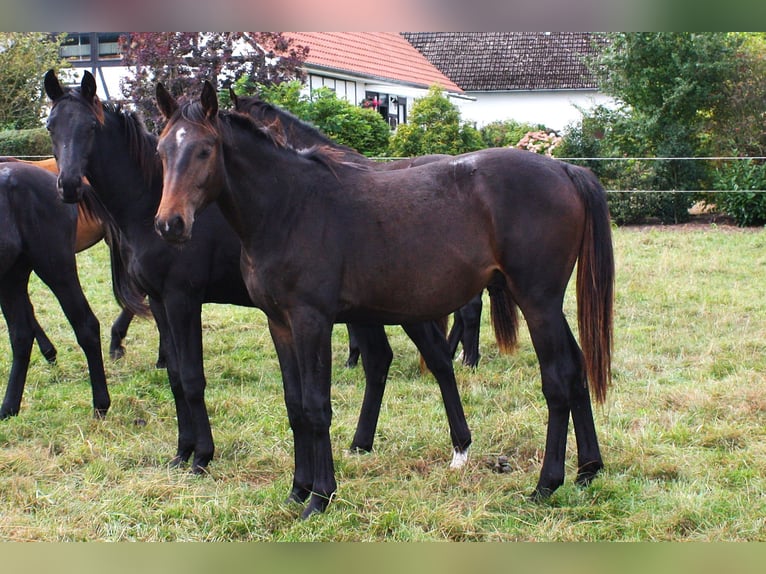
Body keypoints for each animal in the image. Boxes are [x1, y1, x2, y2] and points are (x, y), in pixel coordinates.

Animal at [0, 162, 112, 419]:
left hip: (56, 268)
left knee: (87, 325)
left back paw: (100, 404)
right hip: (11, 277)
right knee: (21, 335)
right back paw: (8, 408)